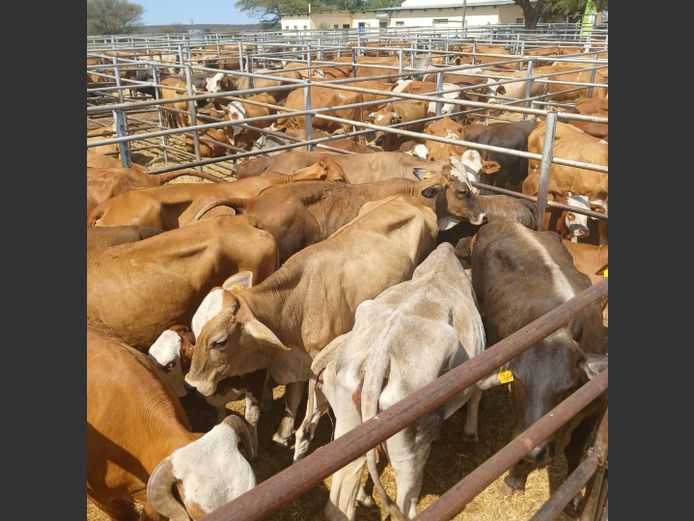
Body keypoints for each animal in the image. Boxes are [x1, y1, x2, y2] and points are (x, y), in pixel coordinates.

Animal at [184, 195, 440, 446]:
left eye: (219, 341)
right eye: (194, 330)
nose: (192, 382)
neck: (296, 304)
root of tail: (411, 200)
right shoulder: (298, 360)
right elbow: (293, 398)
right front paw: (283, 433)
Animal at [471, 221, 607, 507]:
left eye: (567, 389)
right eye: (519, 381)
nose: (536, 452)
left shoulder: (595, 409)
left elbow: (575, 452)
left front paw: (573, 496)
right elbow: (521, 439)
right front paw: (514, 479)